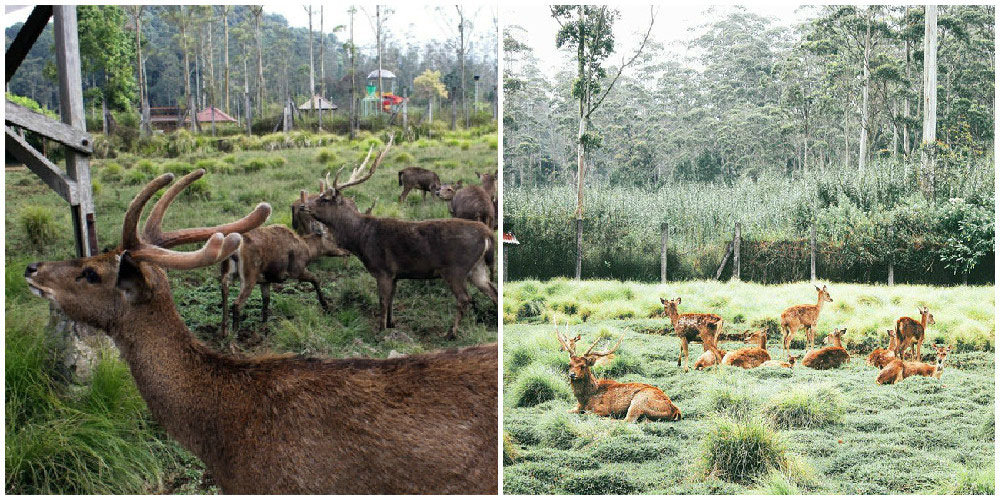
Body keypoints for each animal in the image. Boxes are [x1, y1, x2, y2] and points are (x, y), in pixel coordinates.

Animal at [303, 135, 498, 339]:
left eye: (325, 199)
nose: (303, 206)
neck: (361, 239)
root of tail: (487, 234)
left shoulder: (383, 269)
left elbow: (382, 301)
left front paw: (380, 331)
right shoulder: (396, 274)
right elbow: (391, 300)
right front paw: (391, 323)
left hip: (456, 268)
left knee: (464, 298)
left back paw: (450, 333)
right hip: (476, 267)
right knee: (492, 290)